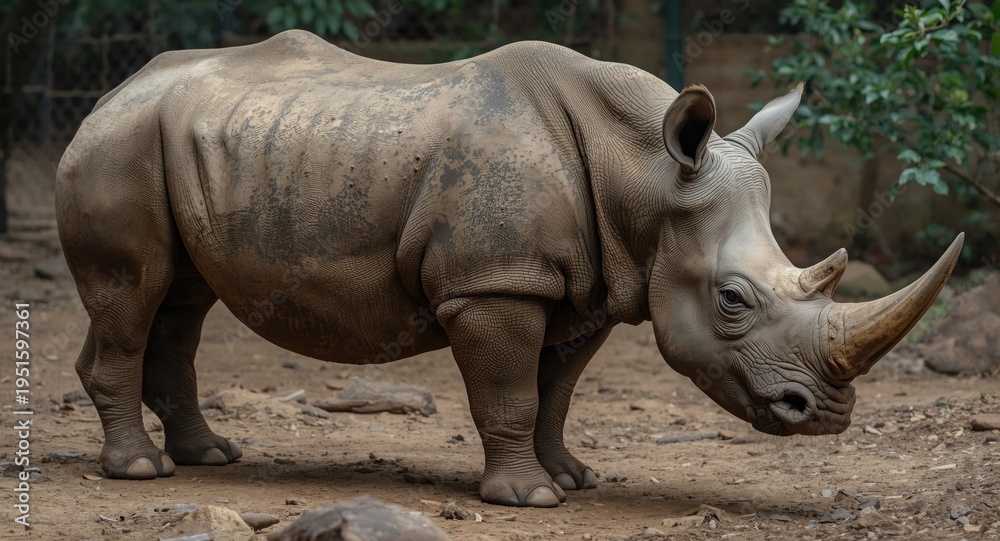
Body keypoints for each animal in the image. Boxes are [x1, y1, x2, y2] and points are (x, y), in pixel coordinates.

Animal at [56, 30, 962, 508]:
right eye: (733, 299)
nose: (827, 415)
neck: (644, 172)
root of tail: (105, 94)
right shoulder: (494, 283)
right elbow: (510, 389)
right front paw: (527, 498)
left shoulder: (590, 285)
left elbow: (555, 391)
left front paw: (572, 477)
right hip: (120, 148)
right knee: (135, 293)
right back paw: (142, 469)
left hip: (187, 142)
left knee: (180, 302)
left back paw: (210, 456)